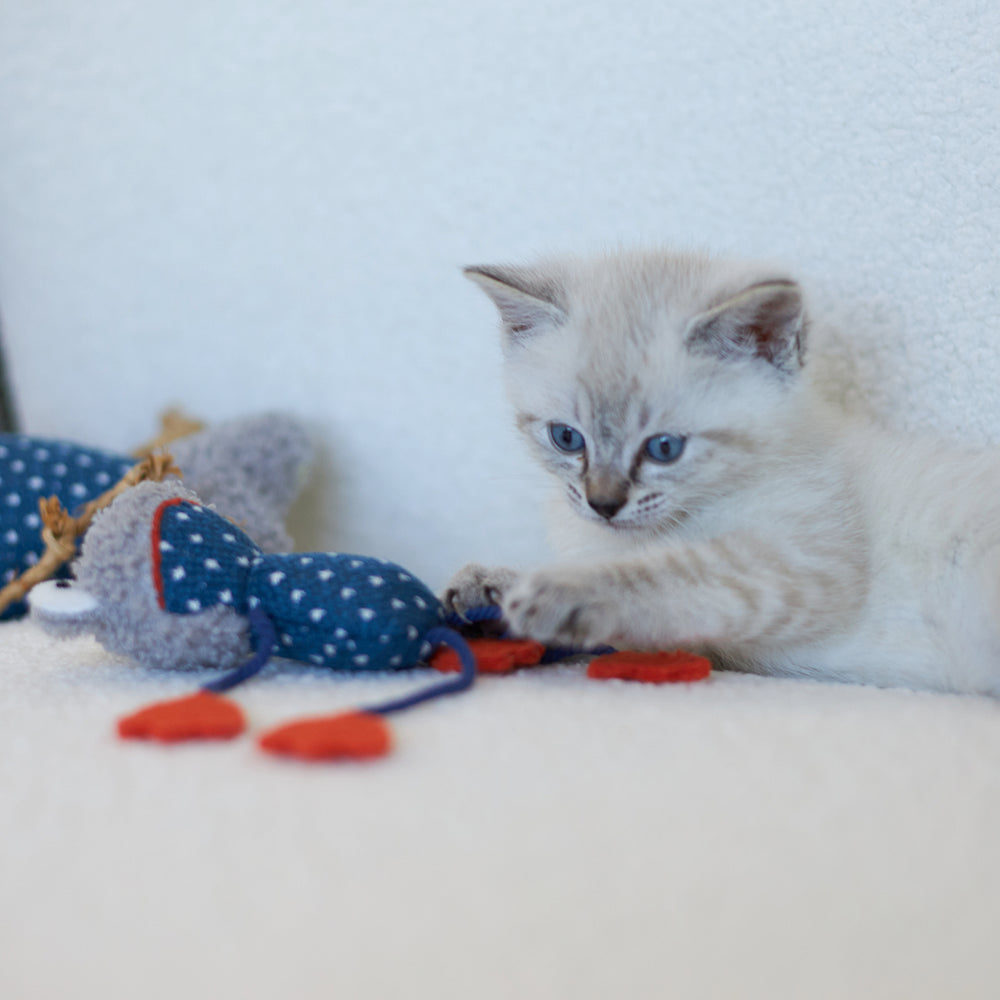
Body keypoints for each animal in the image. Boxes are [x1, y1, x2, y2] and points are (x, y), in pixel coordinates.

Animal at [450, 248, 1000, 696]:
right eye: (567, 438)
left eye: (664, 449)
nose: (603, 503)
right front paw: (489, 588)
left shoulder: (798, 564)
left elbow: (666, 575)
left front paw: (557, 595)